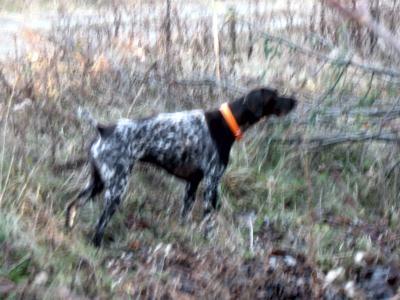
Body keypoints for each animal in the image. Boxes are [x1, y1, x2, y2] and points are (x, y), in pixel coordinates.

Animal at [66, 86, 296, 246]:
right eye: (275, 95)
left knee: (72, 206)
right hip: (116, 189)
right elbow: (209, 221)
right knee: (100, 224)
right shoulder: (211, 184)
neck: (227, 122)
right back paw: (97, 245)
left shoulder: (192, 185)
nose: (295, 100)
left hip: (97, 184)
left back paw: (68, 230)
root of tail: (103, 129)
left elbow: (185, 215)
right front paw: (209, 241)